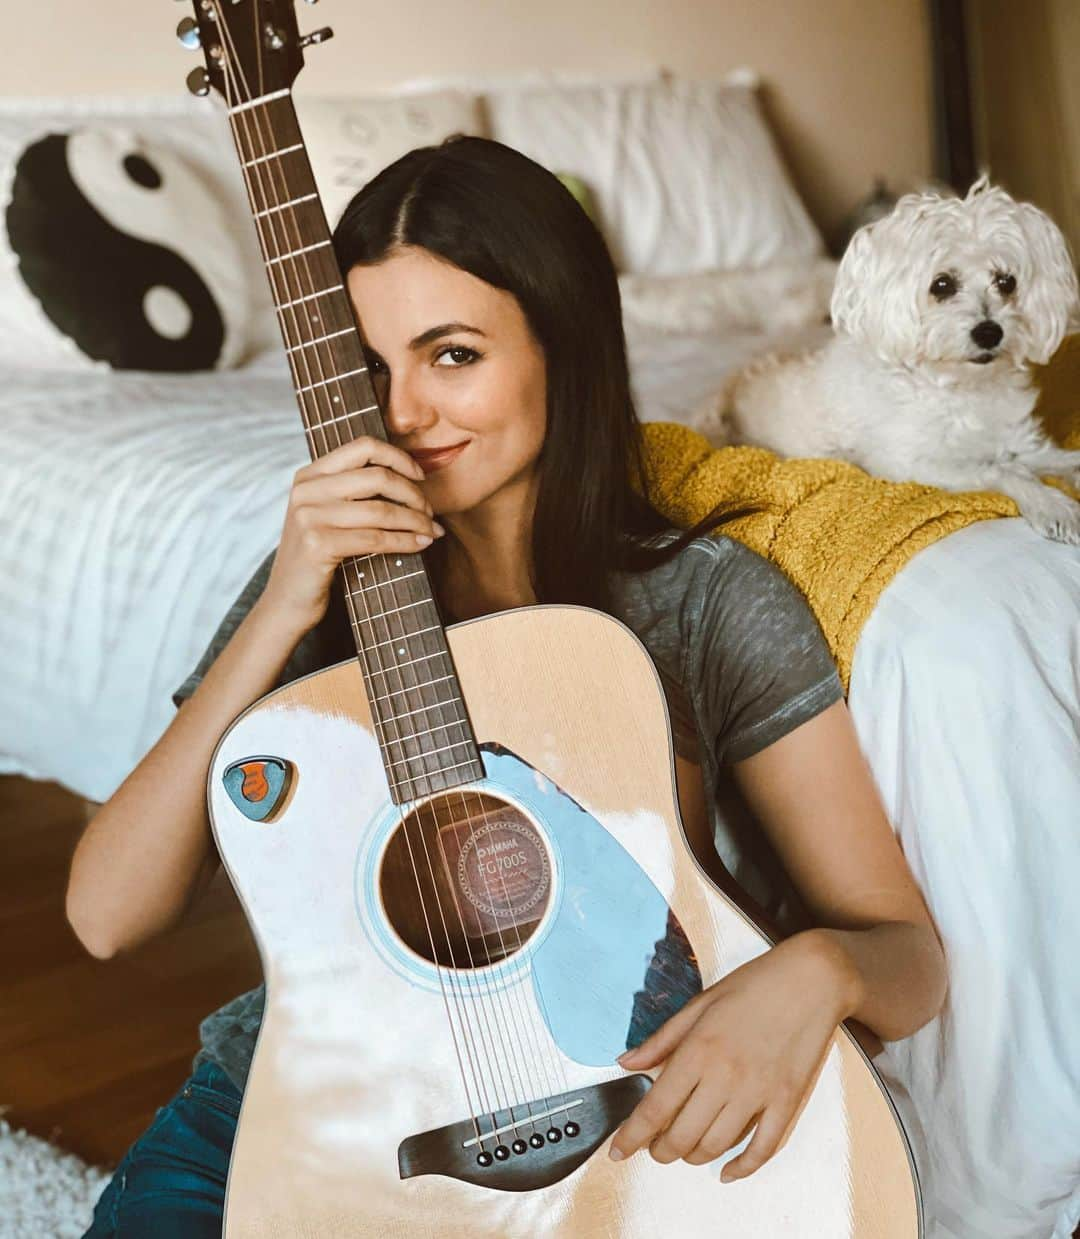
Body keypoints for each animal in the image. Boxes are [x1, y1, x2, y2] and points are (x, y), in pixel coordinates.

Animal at [698, 178, 1080, 542]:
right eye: (941, 285)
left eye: (1006, 281)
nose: (990, 333)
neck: (958, 388)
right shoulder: (911, 463)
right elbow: (1005, 470)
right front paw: (1053, 504)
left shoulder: (1014, 440)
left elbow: (1049, 458)